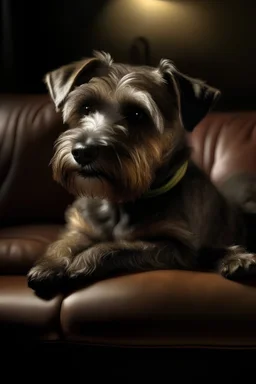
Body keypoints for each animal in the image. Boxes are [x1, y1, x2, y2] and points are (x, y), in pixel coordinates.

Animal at [27, 49, 256, 292]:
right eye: (86, 107)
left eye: (137, 114)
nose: (82, 152)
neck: (121, 202)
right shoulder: (80, 226)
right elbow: (63, 243)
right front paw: (49, 265)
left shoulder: (177, 246)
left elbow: (121, 246)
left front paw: (81, 262)